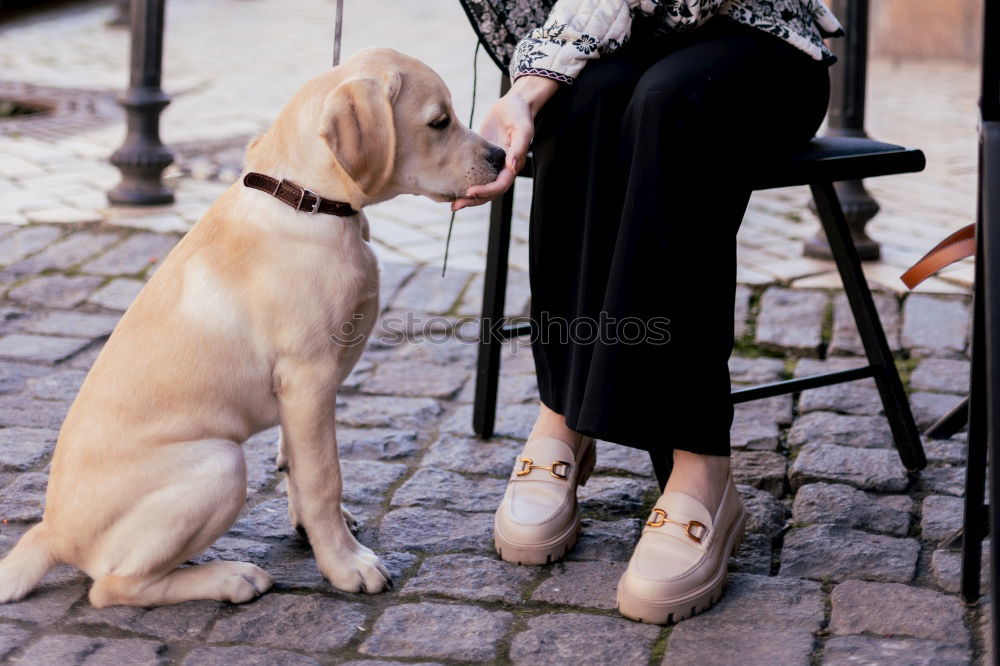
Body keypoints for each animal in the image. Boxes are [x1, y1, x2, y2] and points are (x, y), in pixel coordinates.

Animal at [0, 48, 504, 608]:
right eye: (440, 121)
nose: (503, 156)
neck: (306, 201)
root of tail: (51, 533)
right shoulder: (309, 377)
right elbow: (324, 476)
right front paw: (346, 564)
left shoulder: (302, 393)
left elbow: (297, 465)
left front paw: (313, 531)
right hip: (221, 464)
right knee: (113, 588)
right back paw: (231, 578)